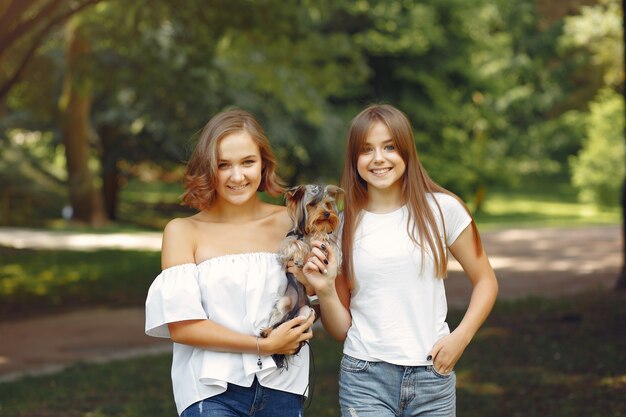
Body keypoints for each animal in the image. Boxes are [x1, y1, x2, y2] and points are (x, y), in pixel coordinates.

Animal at [258, 182, 342, 368]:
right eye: (312, 204)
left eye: (327, 204)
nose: (327, 213)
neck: (309, 231)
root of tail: (295, 309)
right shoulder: (288, 242)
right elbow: (295, 243)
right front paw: (298, 258)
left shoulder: (331, 246)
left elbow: (329, 245)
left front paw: (321, 237)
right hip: (283, 304)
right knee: (279, 323)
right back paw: (267, 332)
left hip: (306, 312)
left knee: (293, 323)